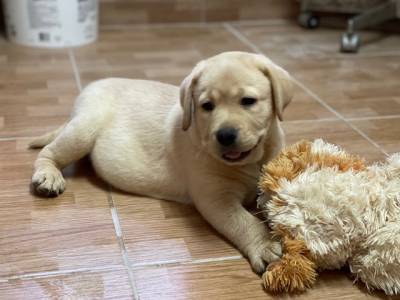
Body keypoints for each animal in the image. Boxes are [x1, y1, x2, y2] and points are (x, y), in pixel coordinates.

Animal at [31, 52, 292, 274]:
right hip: (84, 128)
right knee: (48, 152)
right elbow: (243, 222)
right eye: (207, 106)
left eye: (248, 101)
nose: (225, 135)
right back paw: (48, 176)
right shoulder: (217, 198)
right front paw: (263, 244)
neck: (250, 162)